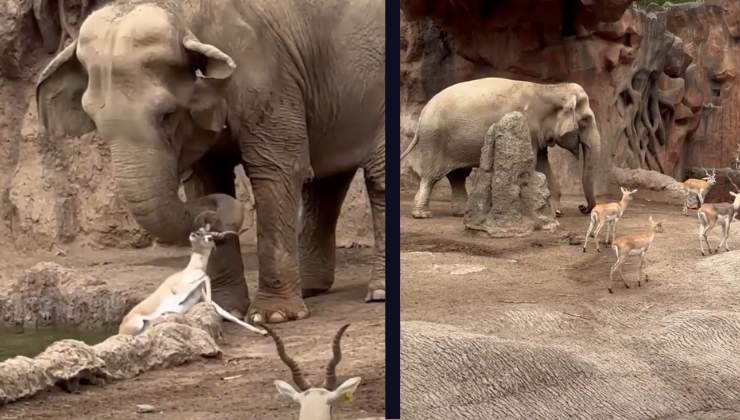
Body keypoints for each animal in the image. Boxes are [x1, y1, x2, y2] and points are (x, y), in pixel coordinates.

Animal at [36, 0, 386, 324]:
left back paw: (378, 293)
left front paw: (272, 317)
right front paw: (225, 310)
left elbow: (279, 169)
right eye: (93, 119)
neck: (183, 15)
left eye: (167, 115)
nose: (220, 218)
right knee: (327, 182)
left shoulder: (267, 73)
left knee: (375, 177)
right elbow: (207, 178)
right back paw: (312, 288)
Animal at [400, 77, 600, 219]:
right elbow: (531, 164)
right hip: (434, 139)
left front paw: (555, 212)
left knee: (458, 176)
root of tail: (422, 114)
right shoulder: (527, 126)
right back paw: (423, 215)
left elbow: (544, 166)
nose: (582, 207)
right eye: (586, 120)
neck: (548, 88)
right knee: (431, 177)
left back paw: (461, 213)